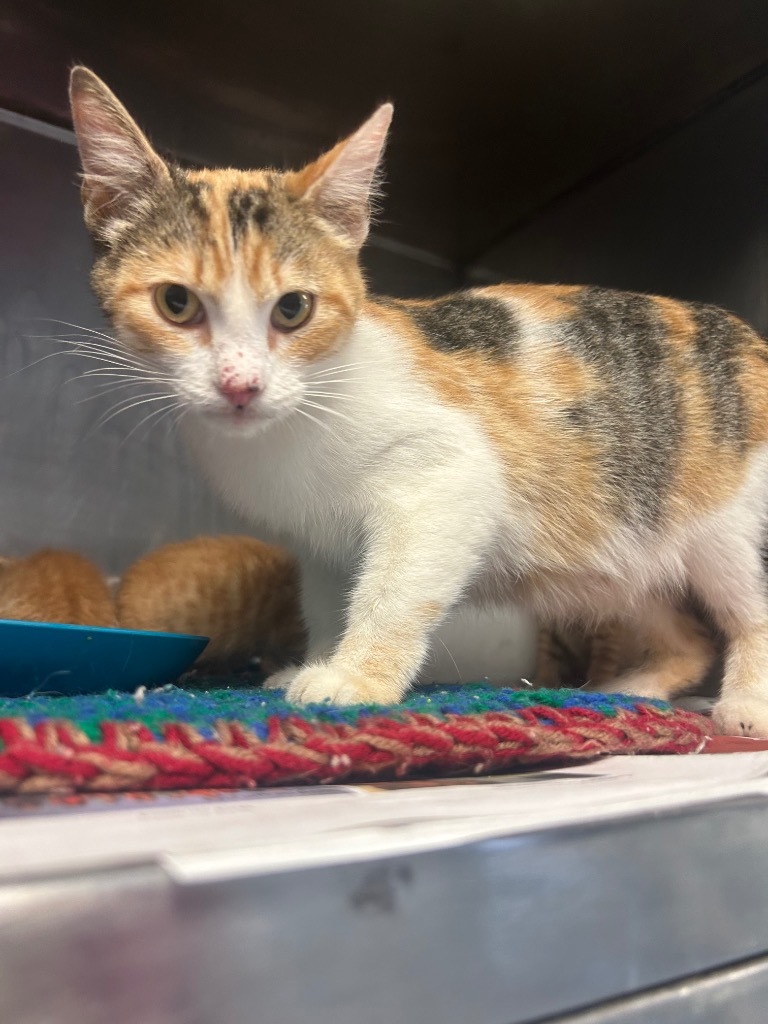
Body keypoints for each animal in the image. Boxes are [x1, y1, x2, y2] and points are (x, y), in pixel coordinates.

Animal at [69, 68, 768, 733]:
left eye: (294, 309)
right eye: (176, 302)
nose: (241, 385)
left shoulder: (450, 477)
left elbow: (394, 588)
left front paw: (357, 676)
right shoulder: (322, 541)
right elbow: (328, 598)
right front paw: (320, 658)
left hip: (731, 529)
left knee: (751, 609)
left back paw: (745, 705)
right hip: (627, 555)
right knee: (689, 636)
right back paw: (631, 687)